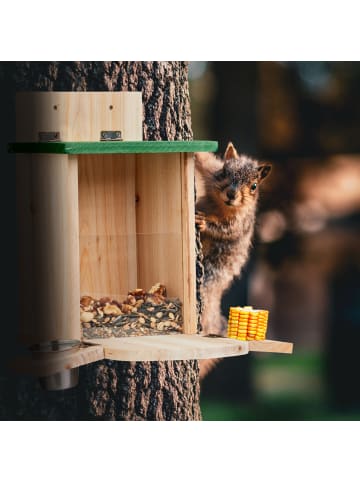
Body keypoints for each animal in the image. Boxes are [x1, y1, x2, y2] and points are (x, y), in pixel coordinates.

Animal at [194, 141, 270, 374]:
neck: (220, 206)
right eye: (224, 172)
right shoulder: (210, 171)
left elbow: (225, 230)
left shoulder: (240, 223)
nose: (232, 194)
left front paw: (204, 223)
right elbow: (203, 159)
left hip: (212, 272)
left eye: (253, 186)